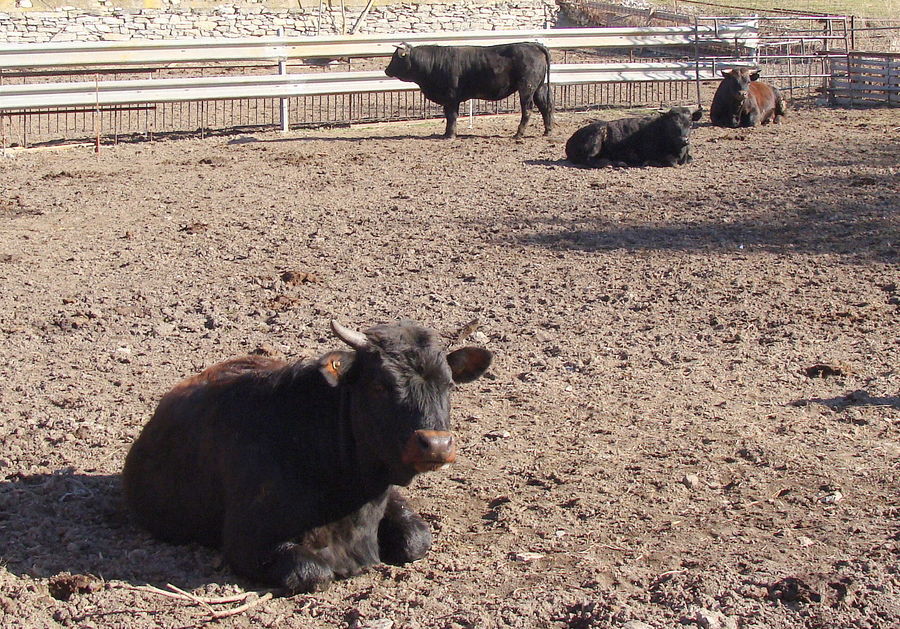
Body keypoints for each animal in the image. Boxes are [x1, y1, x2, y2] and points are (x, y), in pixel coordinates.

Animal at [121, 322, 492, 592]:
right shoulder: (246, 540)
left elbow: (417, 539)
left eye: (448, 385)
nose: (436, 444)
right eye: (379, 385)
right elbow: (313, 572)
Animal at [384, 42, 552, 139]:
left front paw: (450, 135)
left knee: (527, 110)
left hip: (526, 88)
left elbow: (452, 116)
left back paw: (518, 134)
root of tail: (533, 45)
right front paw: (446, 133)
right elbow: (449, 116)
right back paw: (547, 131)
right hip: (539, 88)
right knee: (545, 107)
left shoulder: (451, 97)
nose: (386, 70)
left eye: (396, 58)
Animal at [564, 106, 704, 168]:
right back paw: (613, 163)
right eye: (671, 125)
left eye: (690, 124)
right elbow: (670, 162)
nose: (683, 140)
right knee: (590, 159)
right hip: (596, 142)